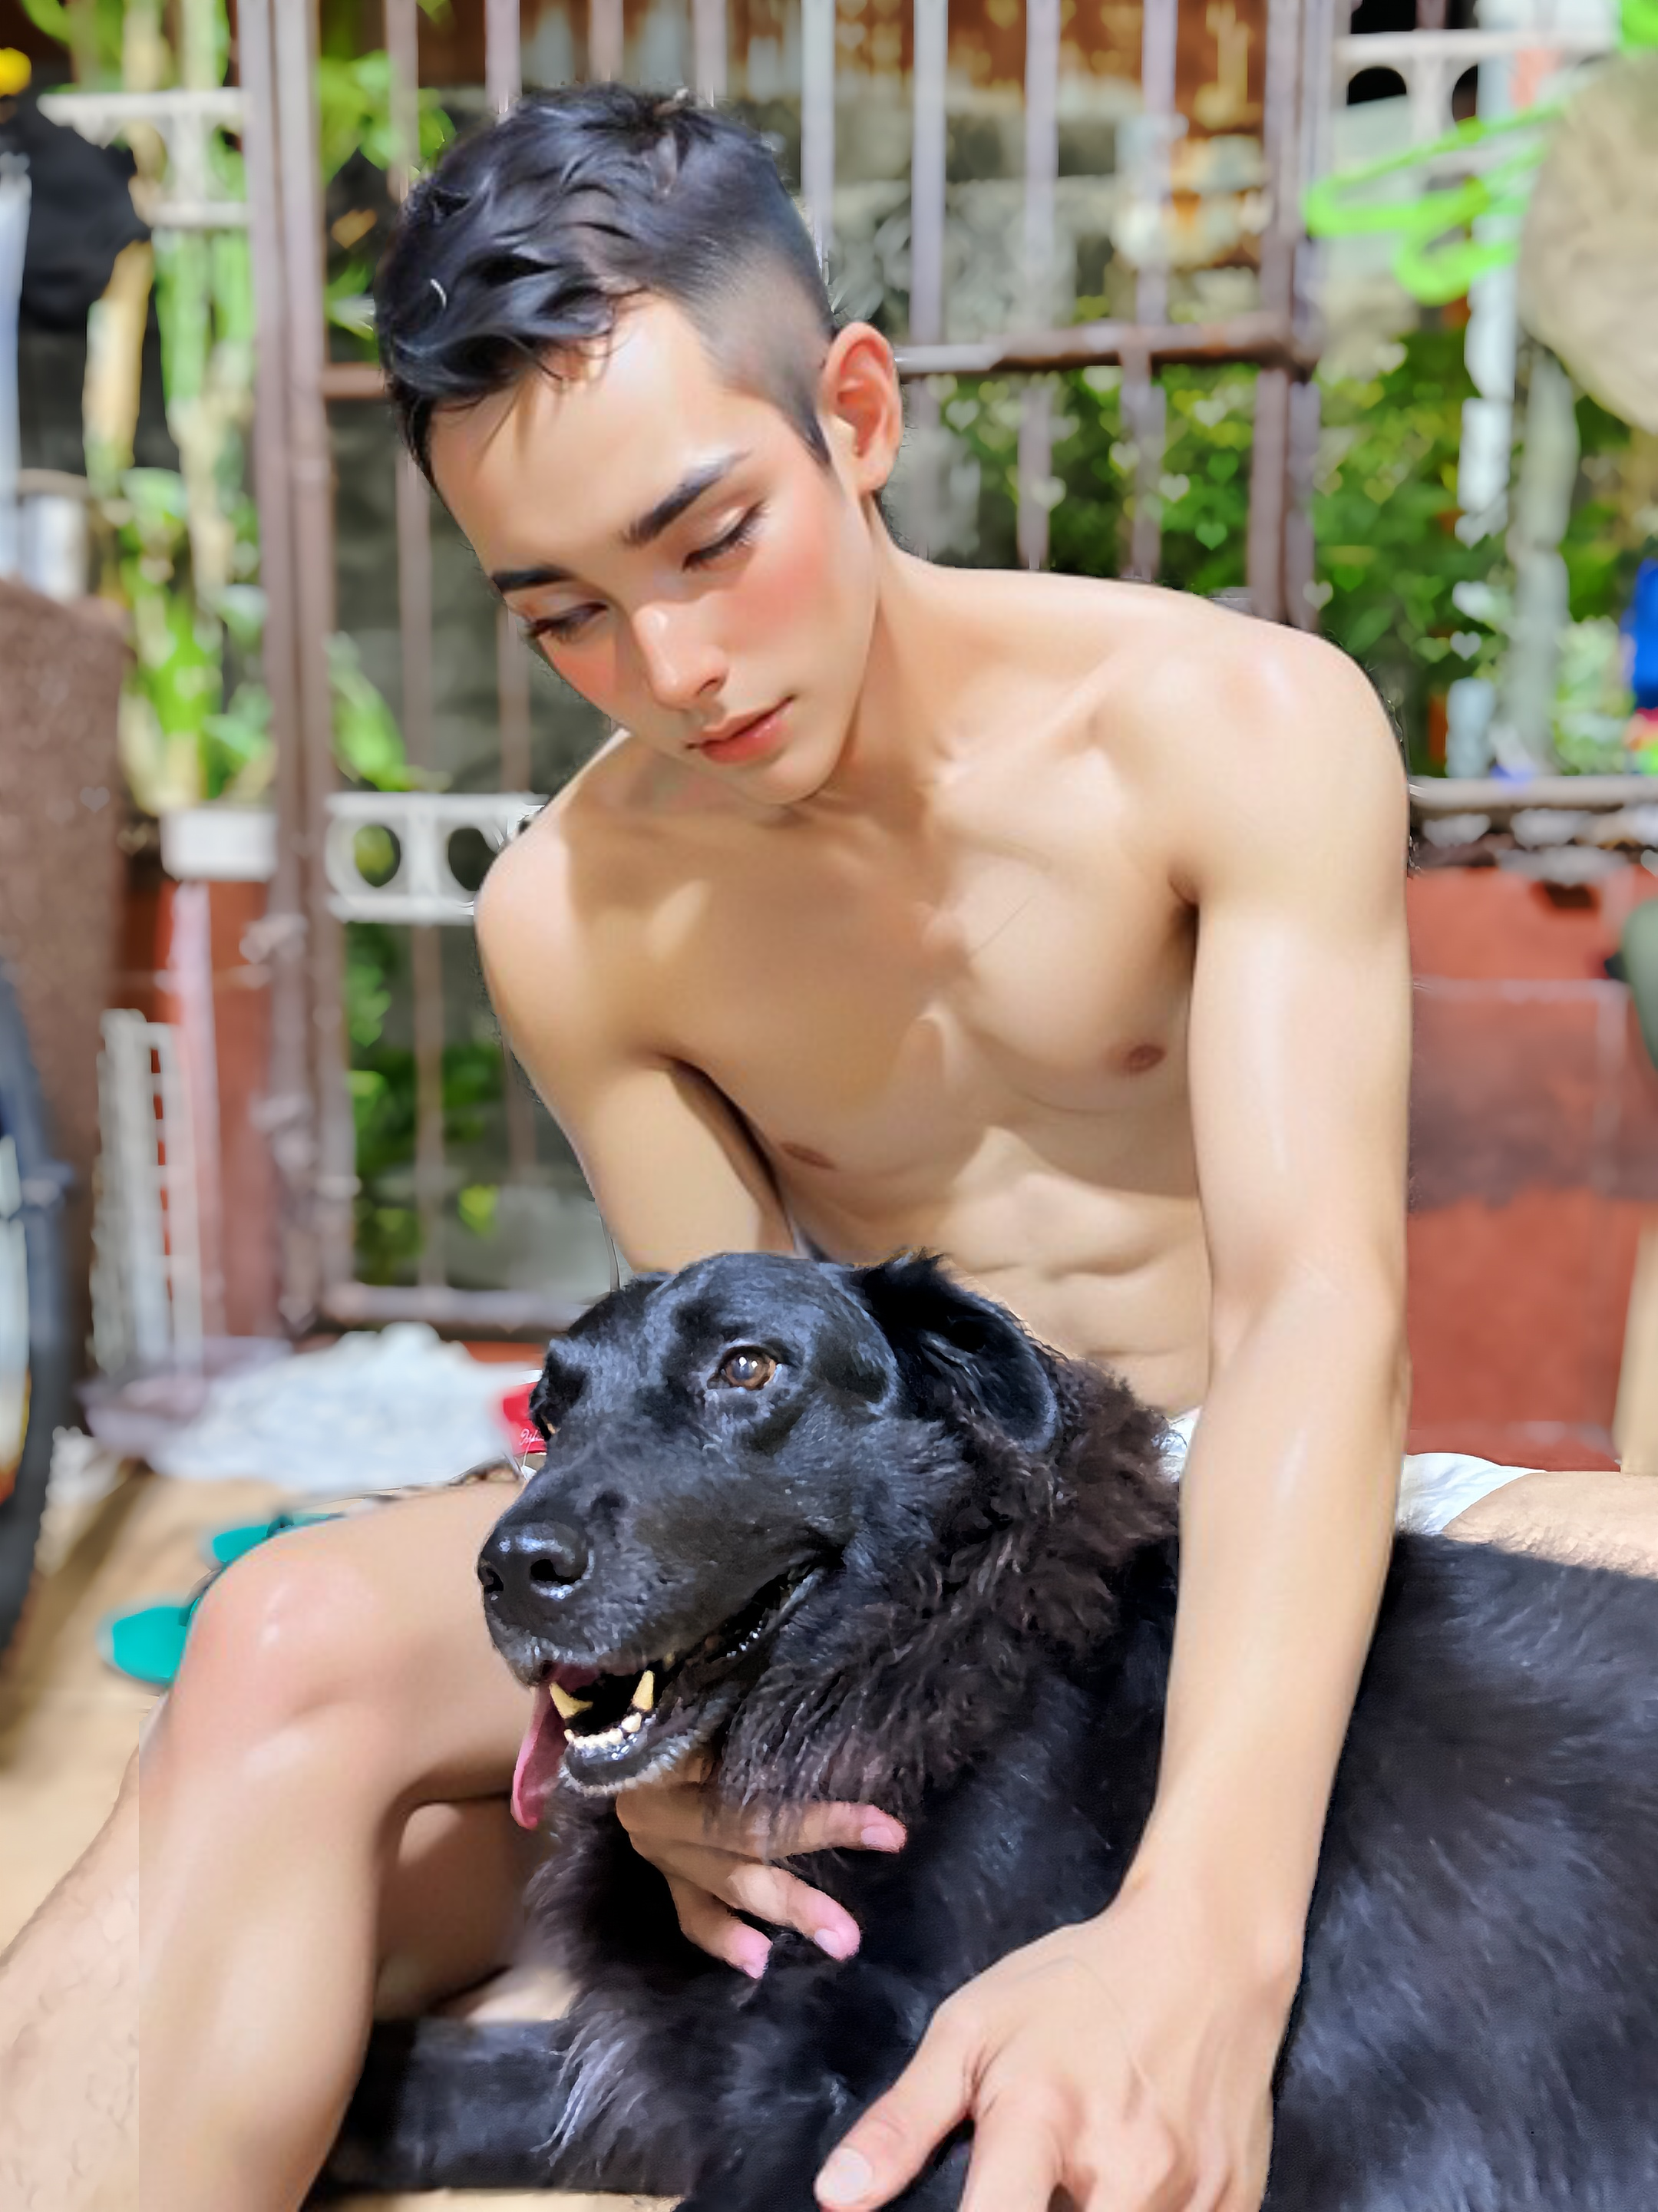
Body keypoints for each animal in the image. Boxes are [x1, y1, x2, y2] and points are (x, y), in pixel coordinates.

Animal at [327, 1251, 1658, 2209]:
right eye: (547, 1416)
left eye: (748, 1369)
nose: (509, 1569)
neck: (933, 1659)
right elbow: (442, 2069)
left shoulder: (916, 2108)